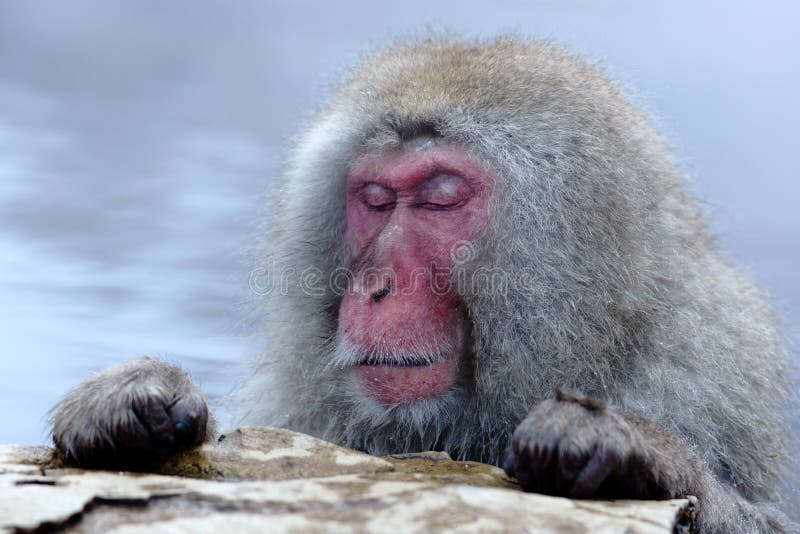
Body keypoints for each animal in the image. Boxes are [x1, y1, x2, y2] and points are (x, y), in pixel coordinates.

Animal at [50, 36, 793, 533]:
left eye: (440, 198)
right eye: (377, 199)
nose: (376, 285)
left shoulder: (709, 371)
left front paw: (635, 454)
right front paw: (134, 401)